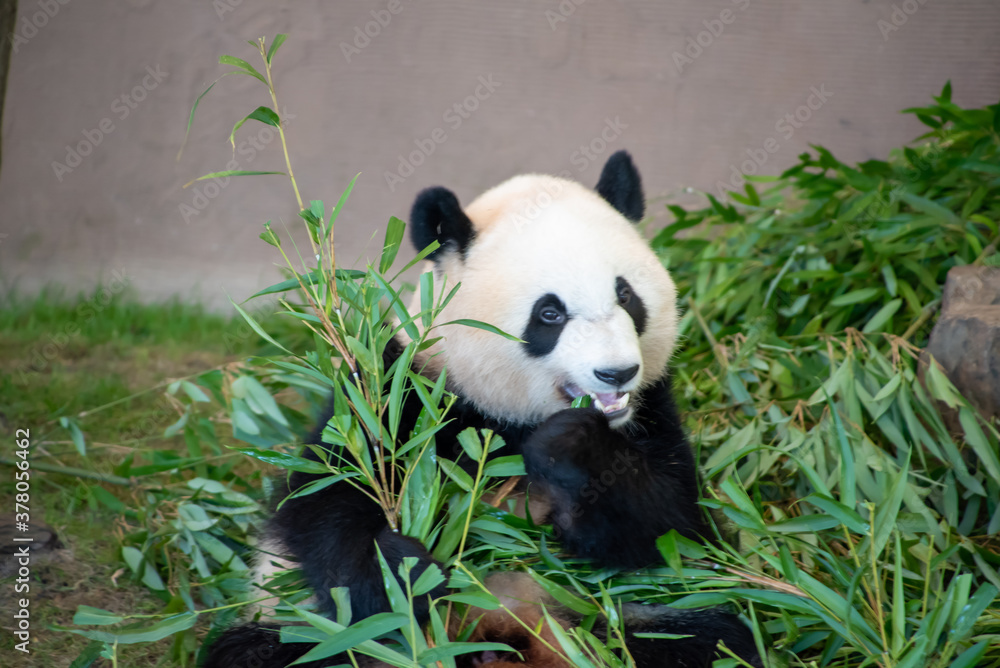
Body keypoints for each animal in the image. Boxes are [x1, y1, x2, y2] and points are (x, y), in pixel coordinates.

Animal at [205, 151, 763, 668]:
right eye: (550, 313)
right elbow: (327, 504)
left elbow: (677, 526)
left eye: (626, 296)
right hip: (303, 632)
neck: (505, 420)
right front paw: (408, 572)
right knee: (259, 652)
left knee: (708, 639)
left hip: (612, 616)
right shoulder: (398, 392)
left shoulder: (653, 412)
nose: (616, 373)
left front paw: (570, 447)